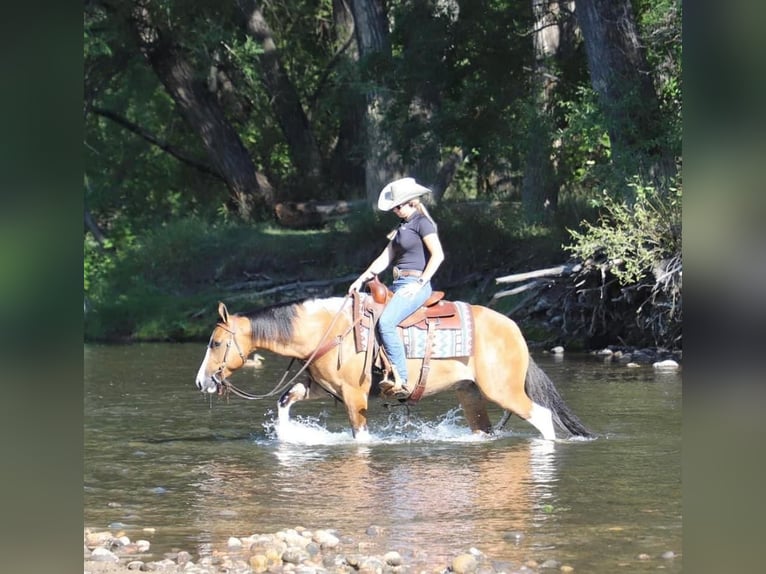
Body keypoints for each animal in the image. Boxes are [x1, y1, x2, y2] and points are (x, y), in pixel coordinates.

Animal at [196, 286, 592, 444]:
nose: (202, 383)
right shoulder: (319, 387)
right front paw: (287, 437)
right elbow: (283, 401)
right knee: (484, 430)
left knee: (542, 417)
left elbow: (360, 436)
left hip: (503, 390)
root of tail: (515, 329)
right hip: (471, 394)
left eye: (215, 343)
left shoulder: (354, 394)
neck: (328, 329)